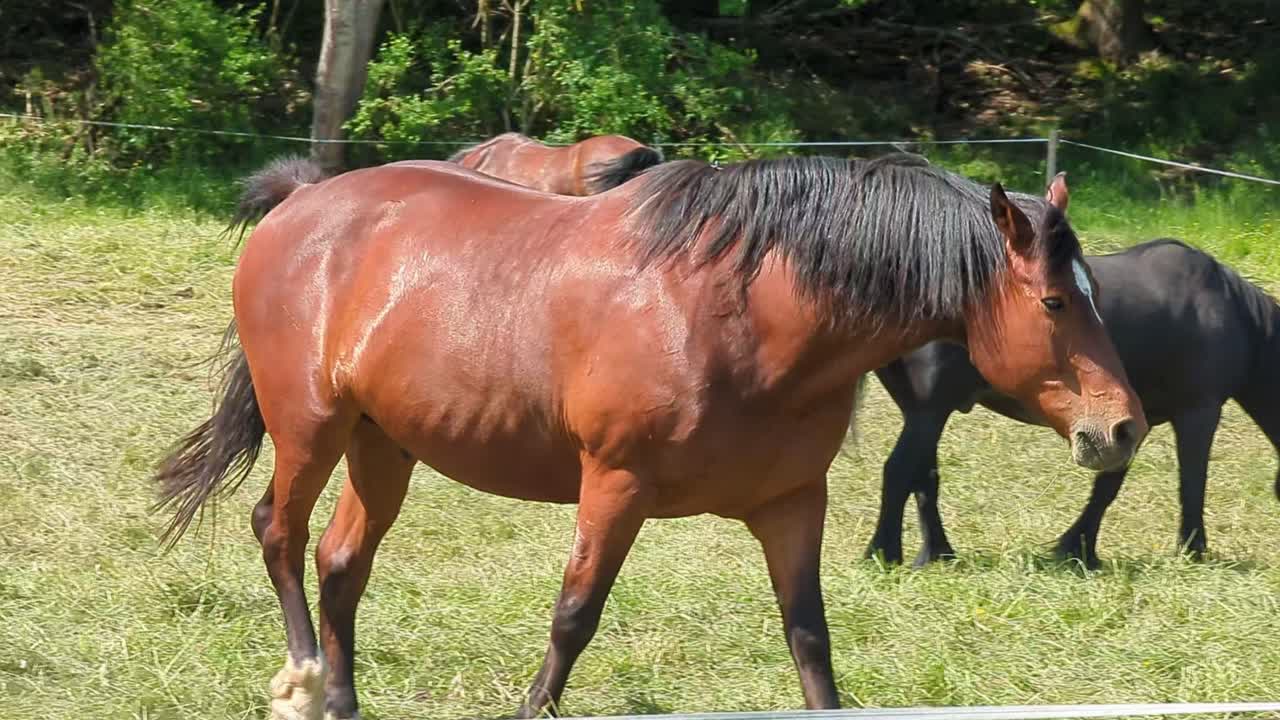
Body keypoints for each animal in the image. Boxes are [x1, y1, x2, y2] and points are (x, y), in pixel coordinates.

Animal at [152, 155, 1145, 720]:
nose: (1122, 426)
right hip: (310, 429)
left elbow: (810, 638)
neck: (746, 314)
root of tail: (299, 205)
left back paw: (344, 698)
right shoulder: (614, 486)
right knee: (279, 535)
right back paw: (303, 680)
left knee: (340, 563)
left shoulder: (794, 503)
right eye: (1054, 303)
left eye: (1093, 294)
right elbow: (573, 618)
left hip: (381, 444)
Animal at [868, 238, 1280, 569]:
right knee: (901, 470)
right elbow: (1192, 482)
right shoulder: (1199, 412)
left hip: (923, 413)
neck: (1236, 315)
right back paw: (885, 554)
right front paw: (1194, 550)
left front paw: (1077, 548)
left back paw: (937, 553)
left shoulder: (1129, 425)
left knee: (923, 476)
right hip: (929, 412)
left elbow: (1108, 485)